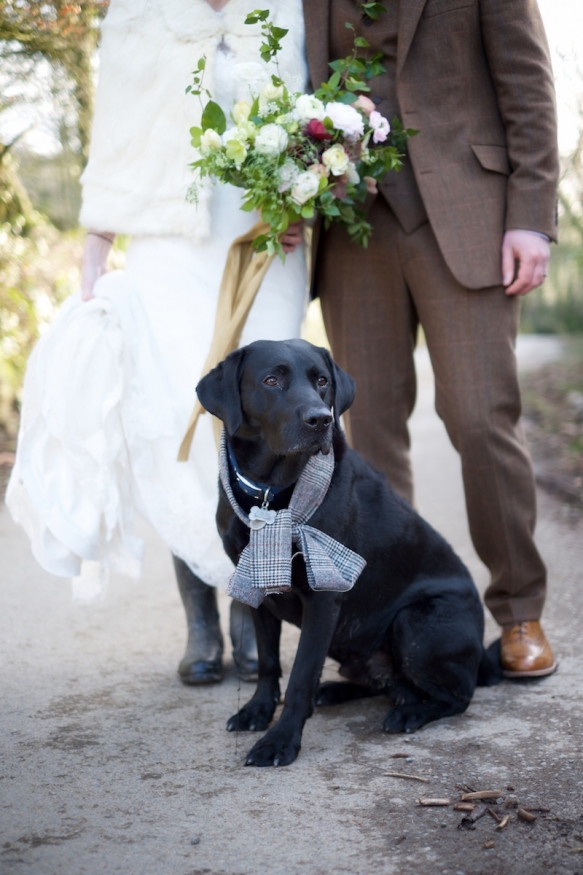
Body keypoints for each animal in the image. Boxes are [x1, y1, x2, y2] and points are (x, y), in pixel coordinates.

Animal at [197, 340, 502, 768]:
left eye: (322, 381)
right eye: (271, 380)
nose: (320, 420)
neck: (271, 494)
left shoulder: (323, 599)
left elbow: (301, 675)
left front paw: (281, 741)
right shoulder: (256, 585)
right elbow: (270, 663)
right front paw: (257, 711)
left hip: (414, 624)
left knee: (458, 696)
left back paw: (410, 713)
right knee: (389, 684)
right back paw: (337, 691)